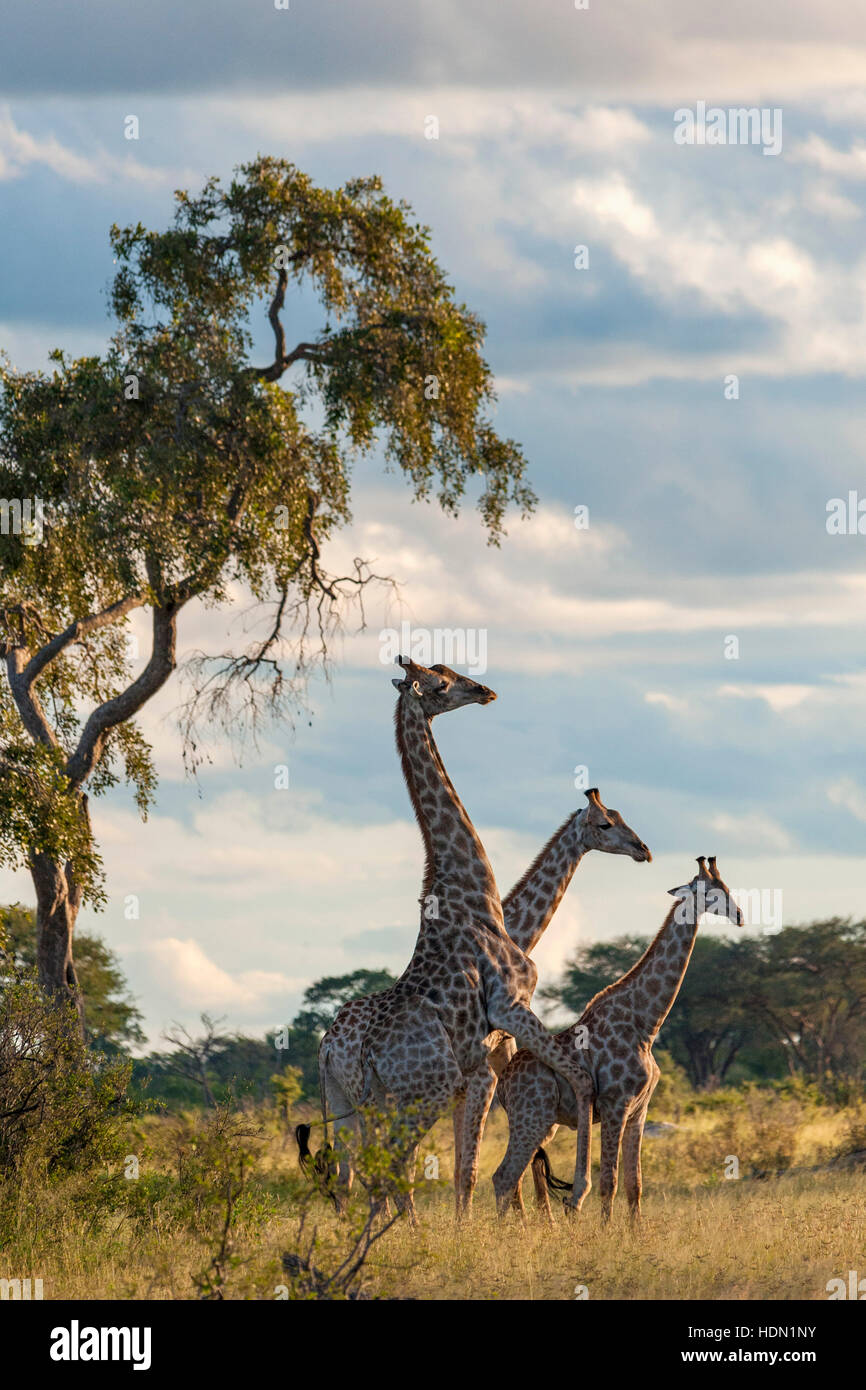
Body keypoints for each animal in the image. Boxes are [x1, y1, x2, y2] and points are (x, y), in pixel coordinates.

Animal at [494, 850, 745, 1223]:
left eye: (725, 886)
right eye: (709, 892)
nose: (740, 916)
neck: (646, 1023)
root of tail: (503, 1082)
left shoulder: (640, 1110)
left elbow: (634, 1184)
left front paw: (634, 1232)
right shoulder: (617, 1104)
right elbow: (609, 1181)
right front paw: (604, 1231)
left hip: (540, 1123)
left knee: (517, 1176)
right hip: (531, 1117)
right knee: (504, 1177)